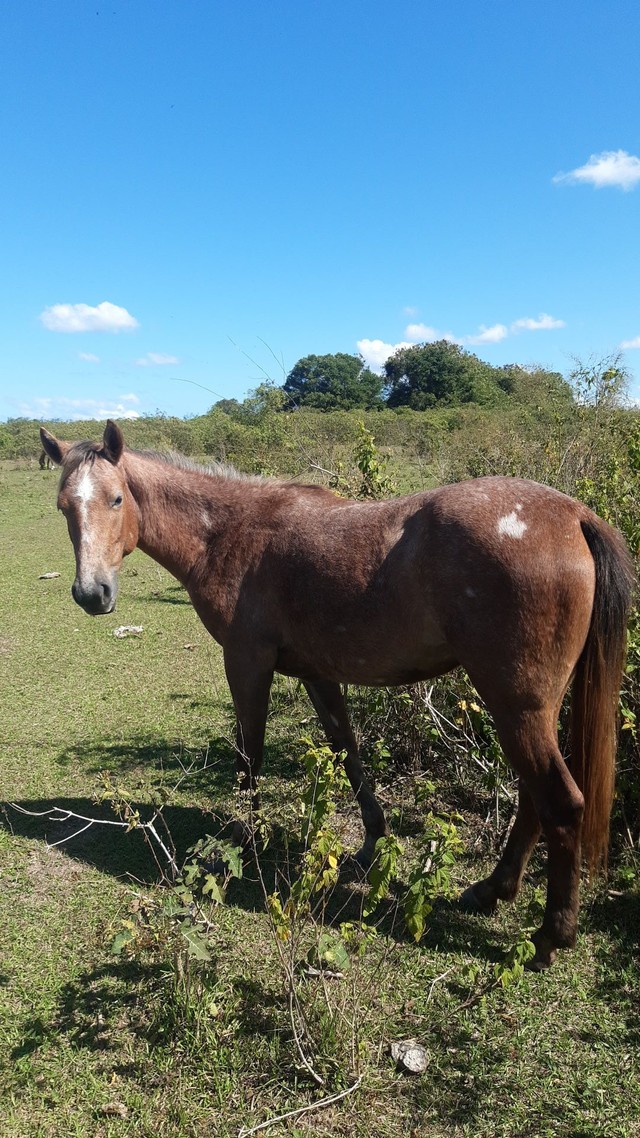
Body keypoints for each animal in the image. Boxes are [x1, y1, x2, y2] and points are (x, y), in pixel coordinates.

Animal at [40, 421, 633, 969]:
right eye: (64, 506)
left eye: (116, 499)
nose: (91, 593)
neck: (229, 532)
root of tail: (573, 515)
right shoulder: (317, 674)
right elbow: (347, 750)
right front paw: (372, 840)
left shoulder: (247, 663)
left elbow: (250, 754)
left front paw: (242, 841)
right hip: (531, 708)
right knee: (535, 798)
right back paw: (494, 891)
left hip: (516, 704)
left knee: (560, 802)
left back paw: (550, 936)